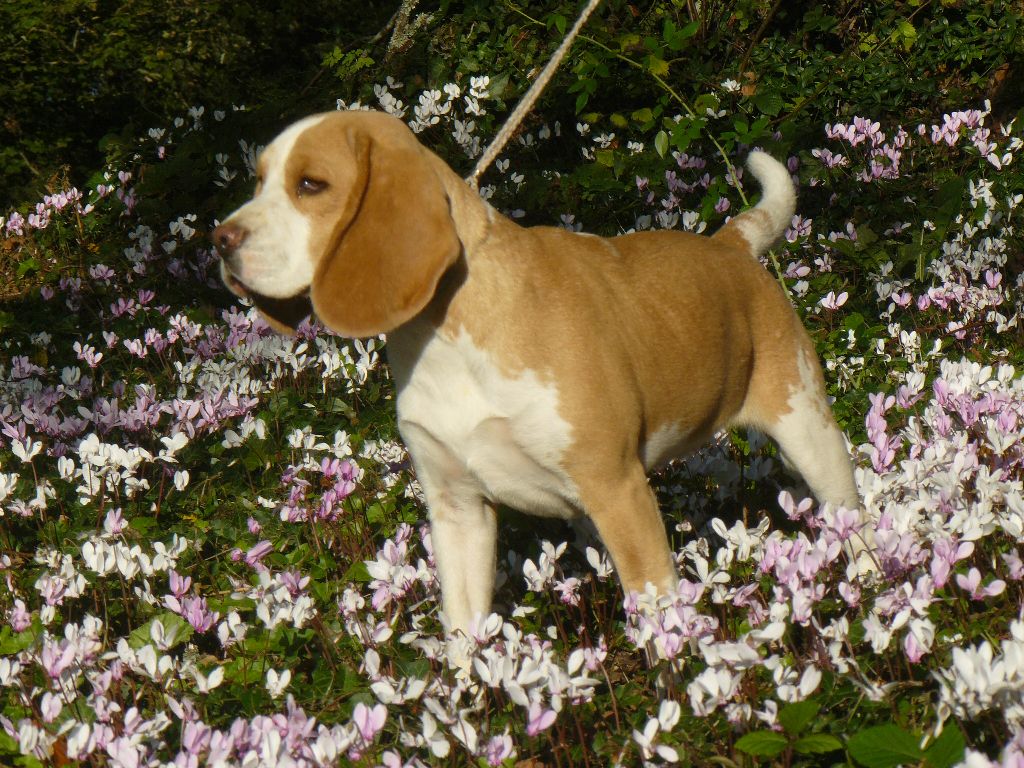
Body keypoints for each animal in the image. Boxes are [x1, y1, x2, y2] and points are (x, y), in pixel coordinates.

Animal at [214, 109, 866, 636]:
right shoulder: (458, 511)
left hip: (809, 430)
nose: (219, 239)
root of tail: (729, 244)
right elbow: (463, 636)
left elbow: (660, 624)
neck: (444, 338)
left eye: (310, 184)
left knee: (851, 513)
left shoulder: (618, 490)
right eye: (259, 180)